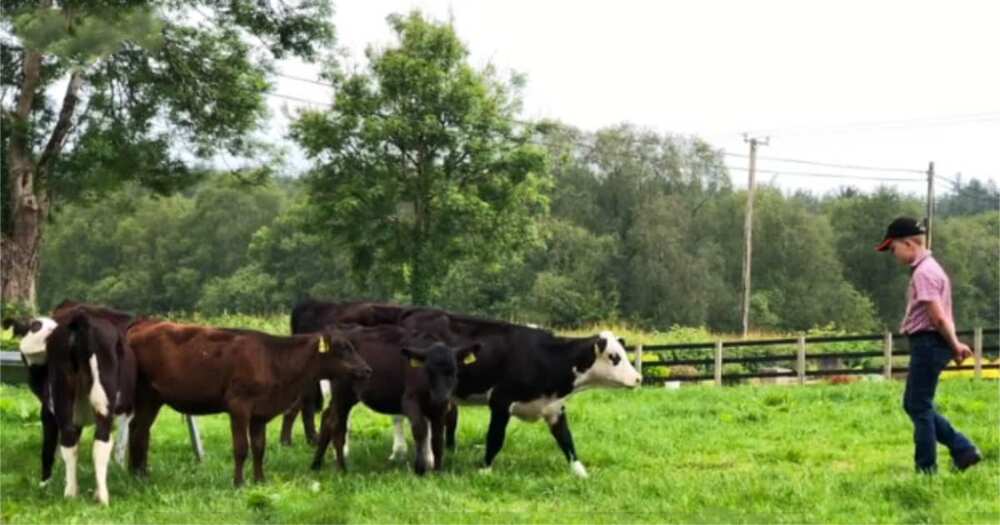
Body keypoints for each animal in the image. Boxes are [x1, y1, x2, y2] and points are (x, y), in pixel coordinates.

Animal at [127, 322, 374, 486]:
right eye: (342, 348)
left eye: (352, 346)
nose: (367, 369)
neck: (272, 360)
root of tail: (140, 327)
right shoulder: (239, 406)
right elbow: (241, 448)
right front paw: (239, 483)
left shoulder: (260, 413)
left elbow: (258, 447)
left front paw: (260, 480)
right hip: (144, 394)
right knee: (139, 430)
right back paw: (139, 474)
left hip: (153, 398)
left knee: (139, 430)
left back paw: (139, 473)